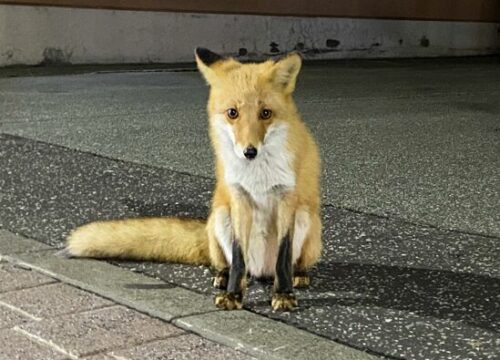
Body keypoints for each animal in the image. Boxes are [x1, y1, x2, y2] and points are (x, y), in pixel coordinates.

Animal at [60, 47, 322, 310]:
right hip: (221, 216)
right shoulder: (239, 196)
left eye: (265, 113)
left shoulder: (286, 197)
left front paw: (284, 294)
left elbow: (283, 256)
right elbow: (238, 257)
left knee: (291, 263)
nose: (249, 152)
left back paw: (299, 275)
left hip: (305, 218)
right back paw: (224, 277)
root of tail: (260, 272)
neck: (257, 173)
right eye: (233, 113)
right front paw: (233, 295)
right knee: (231, 264)